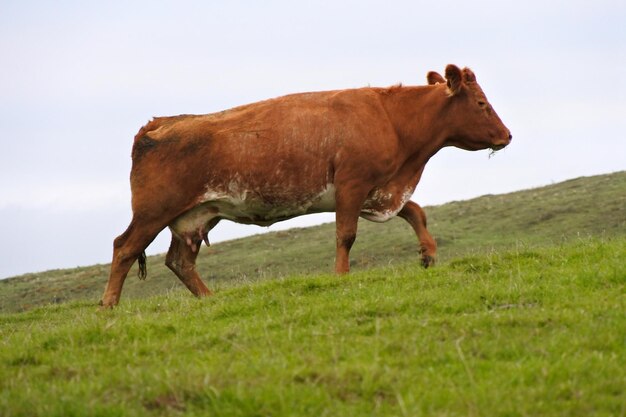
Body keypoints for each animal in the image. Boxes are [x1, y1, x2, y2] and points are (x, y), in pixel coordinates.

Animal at [100, 65, 510, 306]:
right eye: (481, 102)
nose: (506, 135)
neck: (393, 120)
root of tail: (160, 122)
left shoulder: (379, 188)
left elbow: (415, 211)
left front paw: (428, 253)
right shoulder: (352, 183)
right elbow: (346, 235)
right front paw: (341, 276)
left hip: (196, 216)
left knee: (179, 261)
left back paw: (210, 299)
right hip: (154, 211)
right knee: (124, 248)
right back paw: (110, 305)